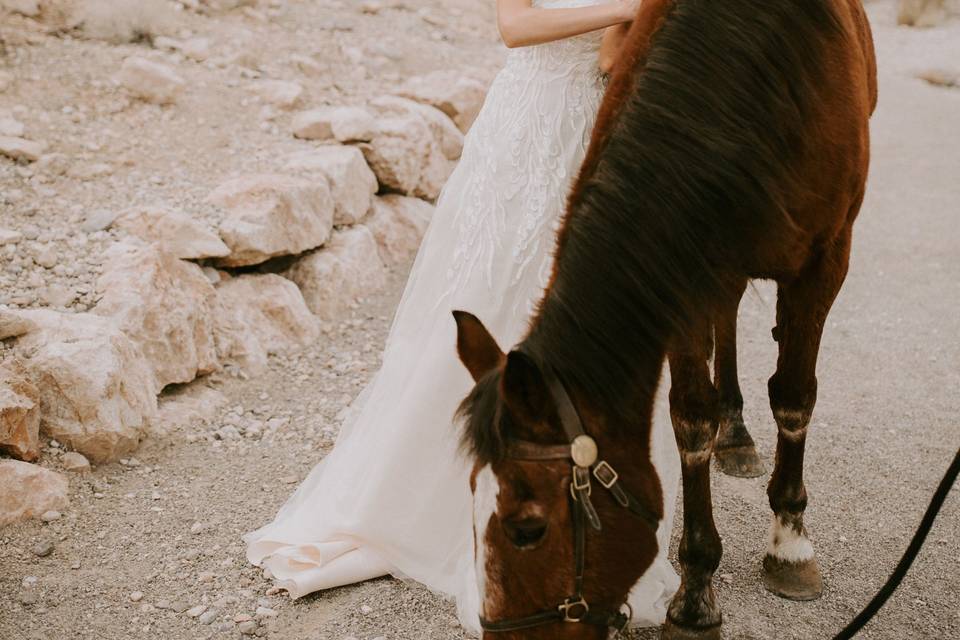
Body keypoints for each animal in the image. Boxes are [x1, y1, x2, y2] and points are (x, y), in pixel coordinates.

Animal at [452, 0, 876, 636]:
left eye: (527, 529)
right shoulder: (684, 266)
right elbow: (691, 420)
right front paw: (696, 590)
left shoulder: (826, 261)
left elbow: (795, 398)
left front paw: (789, 545)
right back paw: (735, 430)